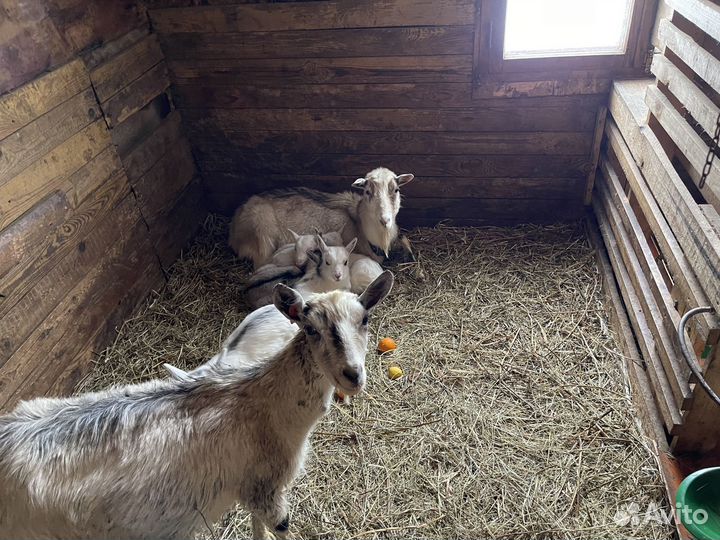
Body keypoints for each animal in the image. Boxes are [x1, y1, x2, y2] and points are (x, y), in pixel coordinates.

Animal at [0, 272, 394, 540]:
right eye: (310, 329)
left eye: (365, 319)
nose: (352, 375)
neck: (266, 401)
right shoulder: (265, 487)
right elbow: (280, 528)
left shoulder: (250, 489)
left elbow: (256, 529)